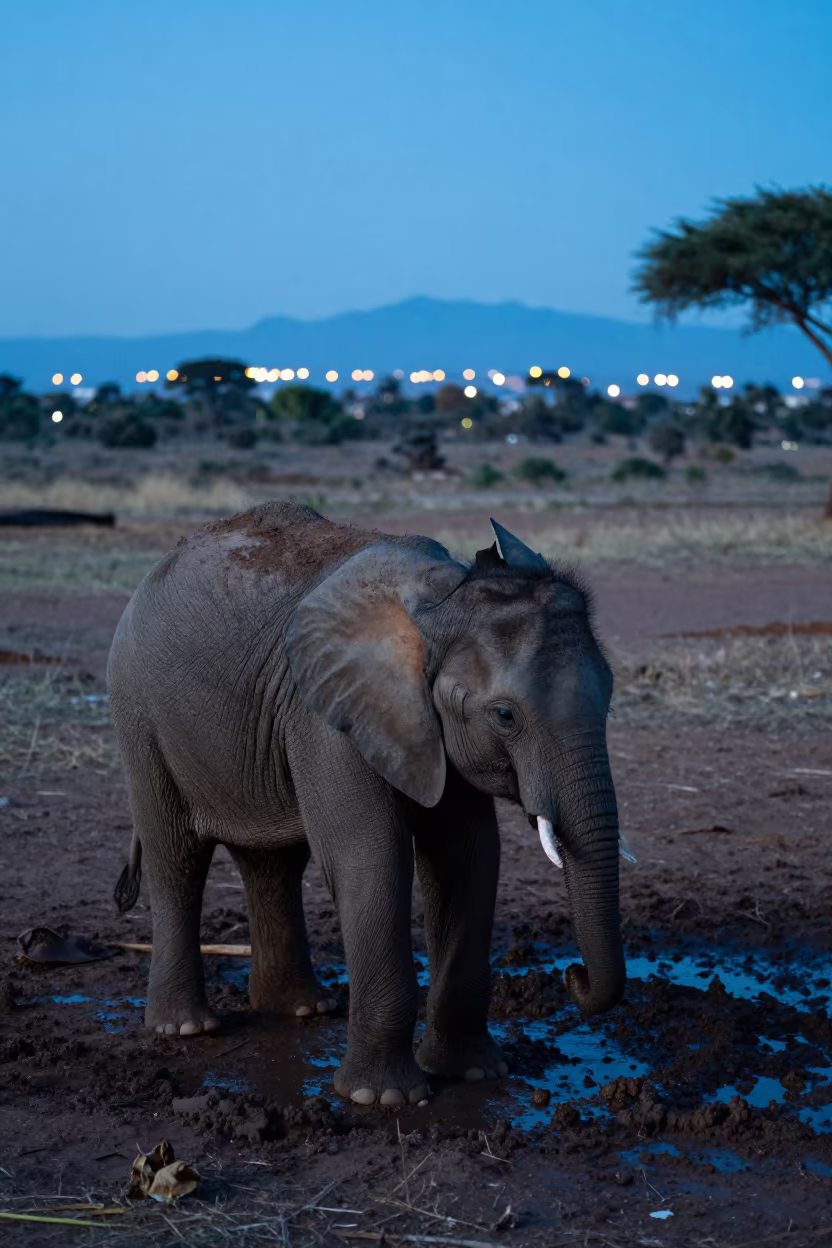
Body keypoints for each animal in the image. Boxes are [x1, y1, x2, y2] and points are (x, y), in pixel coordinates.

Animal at [108, 501, 629, 1106]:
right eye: (505, 716)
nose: (575, 978)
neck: (440, 603)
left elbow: (468, 859)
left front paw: (472, 1074)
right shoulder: (327, 719)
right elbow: (373, 858)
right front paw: (382, 1100)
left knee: (274, 864)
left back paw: (301, 1010)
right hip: (139, 713)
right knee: (177, 859)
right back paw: (186, 1028)